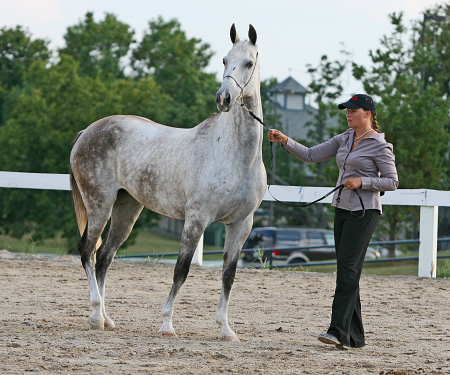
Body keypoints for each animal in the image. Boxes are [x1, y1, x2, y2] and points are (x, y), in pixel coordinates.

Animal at [69, 22, 268, 340]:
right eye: (225, 60)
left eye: (248, 62)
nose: (223, 99)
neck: (234, 154)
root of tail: (87, 132)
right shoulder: (196, 219)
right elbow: (181, 270)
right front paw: (166, 325)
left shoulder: (241, 224)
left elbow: (228, 275)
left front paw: (225, 329)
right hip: (99, 205)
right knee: (87, 251)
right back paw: (96, 316)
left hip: (126, 210)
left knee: (104, 257)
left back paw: (107, 318)